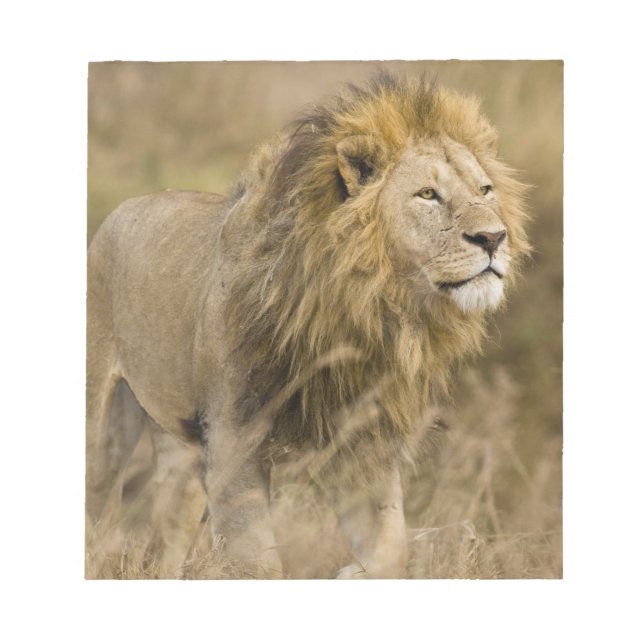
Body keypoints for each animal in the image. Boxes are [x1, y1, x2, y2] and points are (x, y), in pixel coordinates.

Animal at [86, 73, 530, 579]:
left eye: (486, 190)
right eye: (427, 195)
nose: (493, 238)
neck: (367, 307)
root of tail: (126, 206)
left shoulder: (361, 439)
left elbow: (391, 547)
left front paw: (353, 572)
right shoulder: (234, 440)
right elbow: (258, 565)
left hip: (180, 444)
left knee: (166, 538)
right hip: (103, 426)